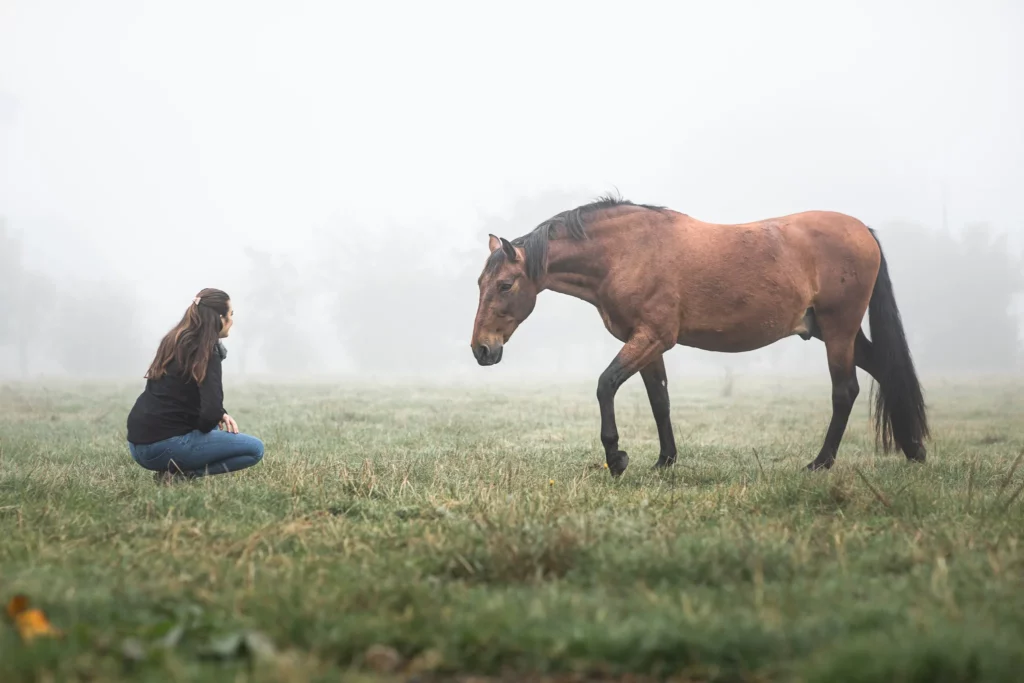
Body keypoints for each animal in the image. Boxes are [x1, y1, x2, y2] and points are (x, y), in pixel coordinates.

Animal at [470, 194, 928, 477]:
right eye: (480, 283)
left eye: (505, 285)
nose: (481, 349)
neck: (627, 251)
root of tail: (862, 230)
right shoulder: (646, 341)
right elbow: (660, 400)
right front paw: (665, 460)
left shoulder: (653, 336)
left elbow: (605, 385)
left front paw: (616, 456)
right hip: (828, 330)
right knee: (885, 371)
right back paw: (914, 449)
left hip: (838, 329)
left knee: (845, 391)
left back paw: (821, 462)